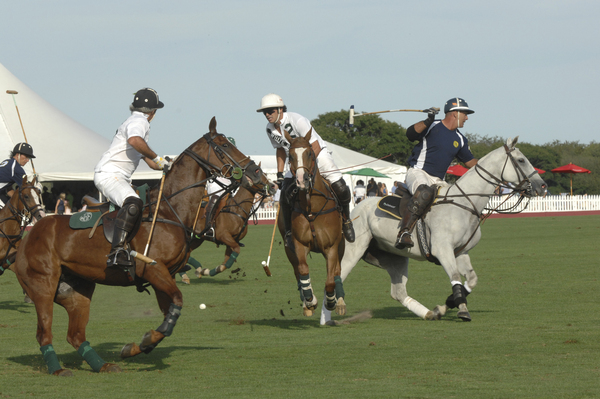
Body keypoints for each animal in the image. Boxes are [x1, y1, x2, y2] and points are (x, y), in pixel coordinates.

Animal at [12, 117, 251, 376]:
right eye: (225, 145)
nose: (252, 171)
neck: (169, 211)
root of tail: (28, 236)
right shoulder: (155, 270)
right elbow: (177, 302)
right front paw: (144, 342)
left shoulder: (164, 276)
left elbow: (169, 316)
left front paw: (136, 347)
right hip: (43, 285)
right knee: (44, 332)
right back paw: (58, 369)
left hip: (77, 289)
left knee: (75, 335)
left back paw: (102, 365)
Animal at [280, 131, 346, 318]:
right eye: (290, 155)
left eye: (309, 153)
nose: (302, 180)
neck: (312, 208)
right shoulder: (299, 244)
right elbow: (303, 271)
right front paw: (310, 300)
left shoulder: (332, 247)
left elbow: (331, 279)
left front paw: (331, 301)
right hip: (289, 249)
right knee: (297, 272)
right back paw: (306, 303)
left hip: (342, 245)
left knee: (337, 271)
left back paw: (339, 302)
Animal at [322, 138, 548, 324]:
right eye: (521, 160)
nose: (542, 186)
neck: (465, 205)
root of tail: (354, 210)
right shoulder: (443, 249)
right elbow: (456, 276)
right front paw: (462, 310)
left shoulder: (461, 252)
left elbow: (471, 280)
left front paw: (444, 306)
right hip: (355, 249)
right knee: (335, 277)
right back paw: (327, 318)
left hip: (396, 257)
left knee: (398, 292)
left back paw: (429, 314)